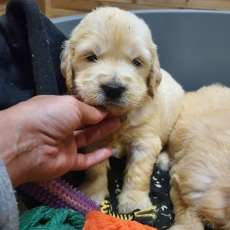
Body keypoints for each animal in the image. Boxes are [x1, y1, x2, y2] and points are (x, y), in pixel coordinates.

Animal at [60, 6, 184, 213]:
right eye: (91, 57)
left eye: (136, 62)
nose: (113, 88)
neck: (119, 114)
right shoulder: (95, 141)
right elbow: (95, 169)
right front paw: (92, 193)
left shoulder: (145, 142)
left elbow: (138, 173)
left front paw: (134, 201)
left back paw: (165, 159)